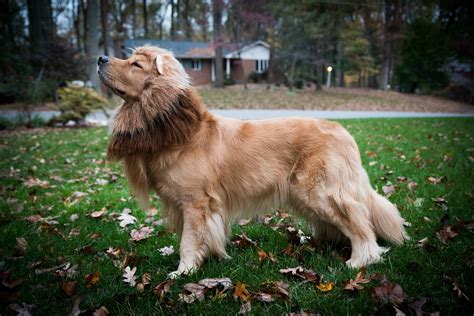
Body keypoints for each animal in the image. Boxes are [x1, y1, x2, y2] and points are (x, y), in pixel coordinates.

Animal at [97, 45, 408, 278]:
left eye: (136, 64)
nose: (100, 58)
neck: (182, 131)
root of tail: (343, 131)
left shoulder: (196, 203)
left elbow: (188, 241)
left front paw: (183, 272)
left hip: (320, 192)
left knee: (360, 224)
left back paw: (359, 260)